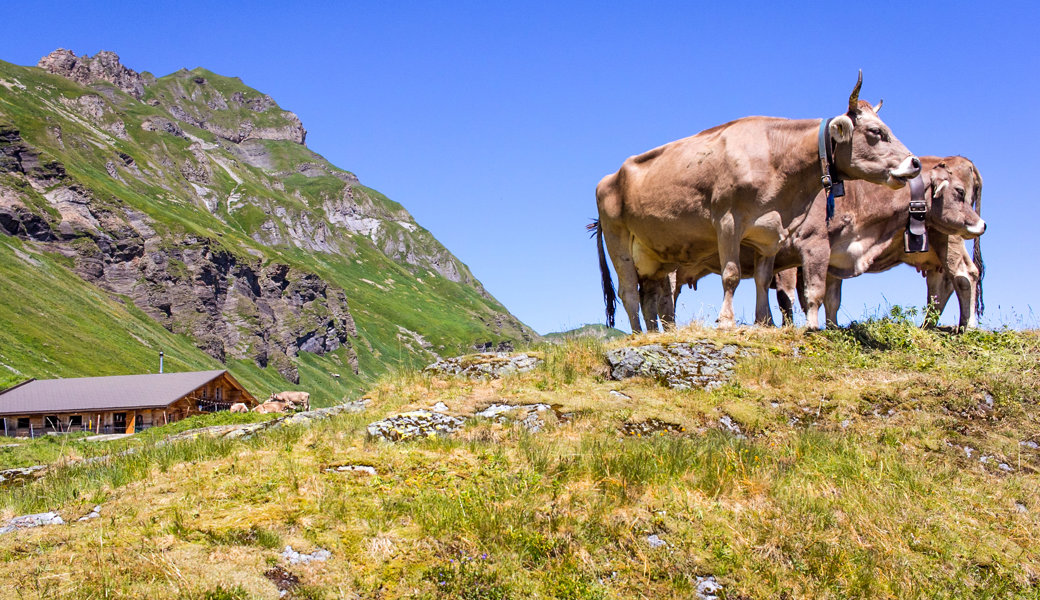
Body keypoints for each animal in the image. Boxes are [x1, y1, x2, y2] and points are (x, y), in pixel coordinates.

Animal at [594, 73, 919, 332]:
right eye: (876, 132)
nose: (914, 163)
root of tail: (609, 177)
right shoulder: (727, 221)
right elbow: (732, 275)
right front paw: (726, 320)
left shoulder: (771, 232)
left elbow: (762, 279)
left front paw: (765, 321)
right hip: (617, 239)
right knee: (628, 292)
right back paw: (637, 334)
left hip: (656, 253)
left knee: (652, 294)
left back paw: (653, 333)